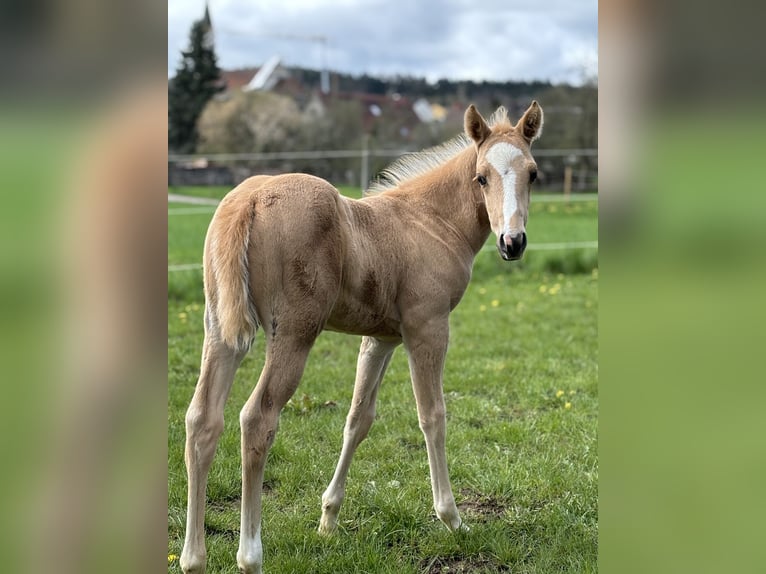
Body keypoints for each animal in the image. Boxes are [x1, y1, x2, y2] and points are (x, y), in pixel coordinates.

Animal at [181, 101, 544, 572]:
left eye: (532, 173)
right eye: (481, 176)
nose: (512, 242)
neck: (429, 221)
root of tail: (250, 199)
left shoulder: (381, 338)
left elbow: (358, 419)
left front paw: (328, 519)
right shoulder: (427, 328)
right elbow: (433, 416)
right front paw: (452, 519)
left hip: (220, 331)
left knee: (202, 419)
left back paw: (193, 558)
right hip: (294, 333)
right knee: (257, 419)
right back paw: (250, 556)